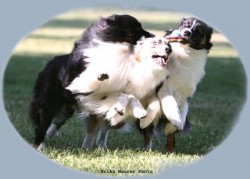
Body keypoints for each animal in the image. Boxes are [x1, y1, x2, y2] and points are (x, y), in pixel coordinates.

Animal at [29, 14, 154, 149]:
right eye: (137, 28)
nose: (153, 36)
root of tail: (48, 64)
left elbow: (129, 96)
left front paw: (139, 112)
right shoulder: (81, 85)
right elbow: (90, 80)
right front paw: (100, 76)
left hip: (69, 105)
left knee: (62, 120)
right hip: (51, 101)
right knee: (43, 123)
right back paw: (41, 145)